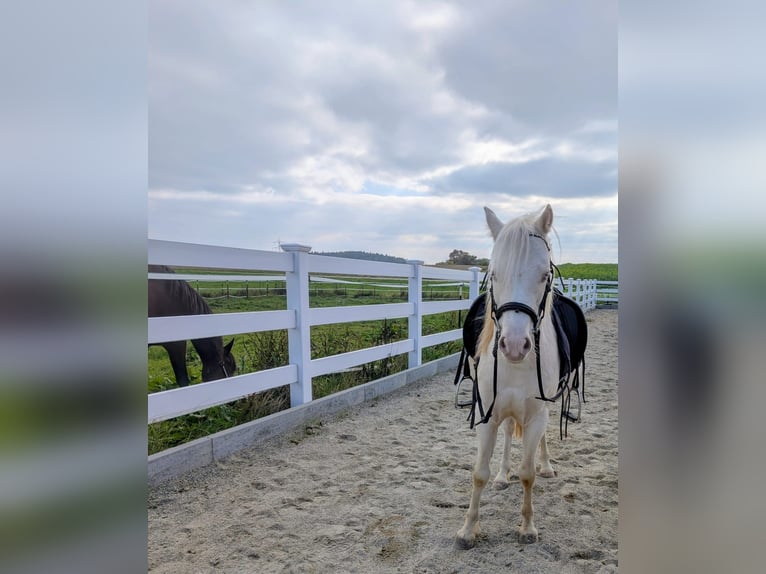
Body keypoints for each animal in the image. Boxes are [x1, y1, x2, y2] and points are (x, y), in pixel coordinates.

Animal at [456, 204, 571, 548]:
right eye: (494, 275)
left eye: (545, 275)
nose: (515, 345)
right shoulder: (488, 415)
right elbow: (479, 472)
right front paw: (468, 530)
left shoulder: (536, 416)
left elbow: (528, 473)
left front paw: (527, 527)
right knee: (508, 434)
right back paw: (502, 475)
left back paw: (546, 465)